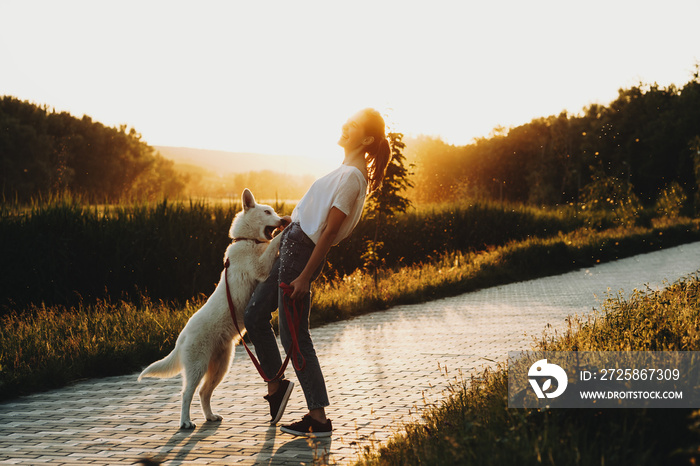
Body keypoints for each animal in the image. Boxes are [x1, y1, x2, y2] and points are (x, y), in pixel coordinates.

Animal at [138, 187, 286, 428]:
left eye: (273, 211)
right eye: (266, 212)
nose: (282, 219)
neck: (248, 240)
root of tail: (181, 338)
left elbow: (273, 246)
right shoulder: (260, 267)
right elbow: (274, 244)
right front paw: (289, 228)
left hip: (221, 366)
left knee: (204, 393)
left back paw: (210, 416)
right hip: (197, 367)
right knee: (187, 394)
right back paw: (185, 422)